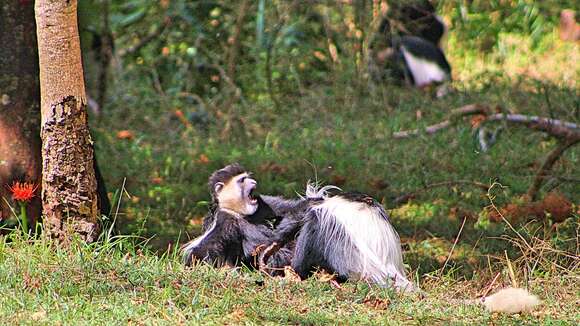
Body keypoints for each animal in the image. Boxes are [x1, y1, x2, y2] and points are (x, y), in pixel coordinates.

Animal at [184, 164, 414, 292]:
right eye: (242, 180)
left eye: (247, 178)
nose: (253, 182)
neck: (240, 212)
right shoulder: (225, 220)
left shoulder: (262, 203)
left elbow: (289, 211)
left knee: (314, 221)